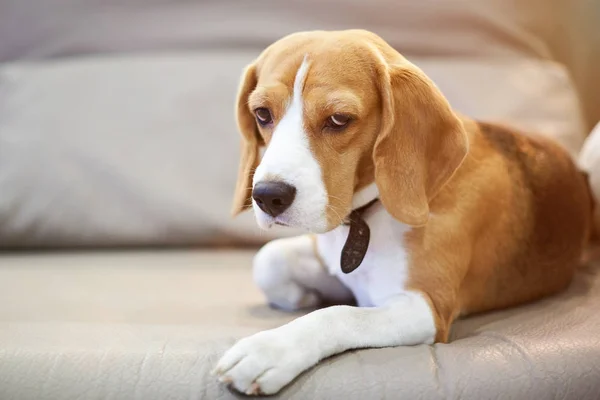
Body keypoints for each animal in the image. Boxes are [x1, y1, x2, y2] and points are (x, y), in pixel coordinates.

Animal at [213, 29, 592, 396]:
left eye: (338, 119)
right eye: (262, 114)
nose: (268, 196)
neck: (368, 216)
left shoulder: (426, 307)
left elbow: (339, 316)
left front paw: (270, 349)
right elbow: (268, 259)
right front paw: (301, 295)